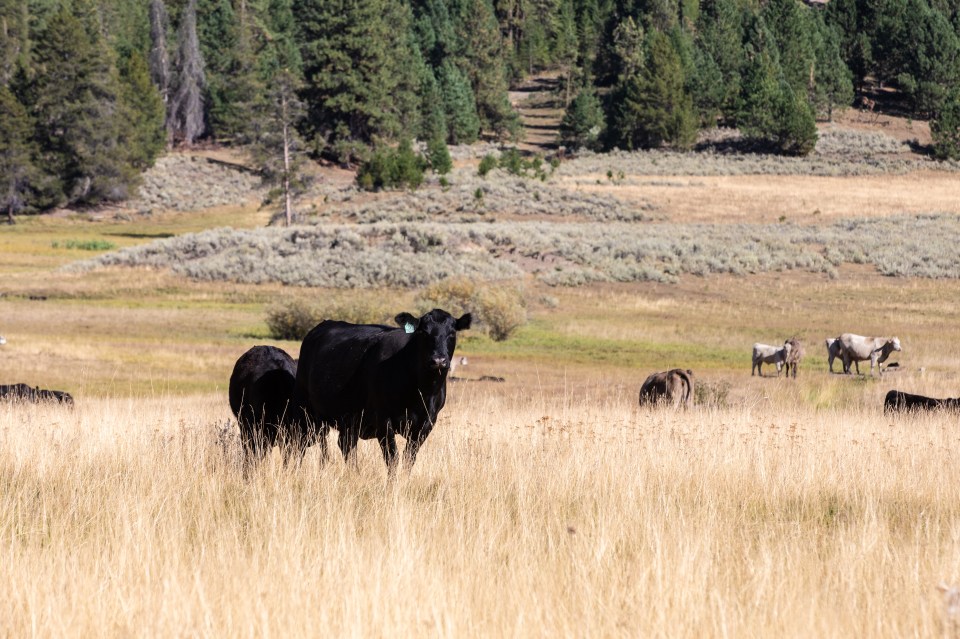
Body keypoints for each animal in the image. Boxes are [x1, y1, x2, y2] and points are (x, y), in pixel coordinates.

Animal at [294, 310, 470, 470]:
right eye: (423, 332)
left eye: (452, 333)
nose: (438, 360)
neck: (422, 391)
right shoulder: (383, 420)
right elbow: (392, 458)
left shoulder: (426, 423)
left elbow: (409, 459)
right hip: (307, 409)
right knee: (305, 442)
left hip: (349, 418)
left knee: (346, 445)